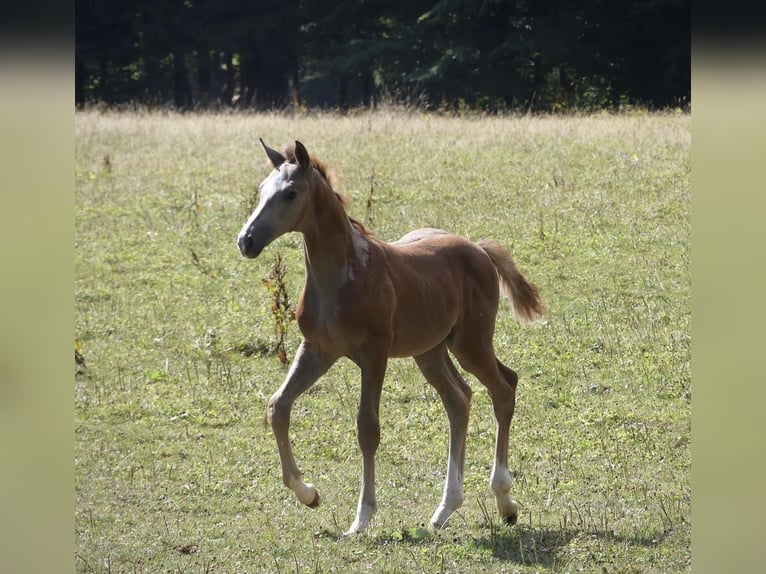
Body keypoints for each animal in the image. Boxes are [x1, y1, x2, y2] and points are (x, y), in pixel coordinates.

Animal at [237, 139, 545, 534]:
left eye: (290, 193)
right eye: (262, 190)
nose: (246, 241)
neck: (343, 275)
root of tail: (478, 248)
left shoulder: (374, 353)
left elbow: (367, 428)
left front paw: (362, 517)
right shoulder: (317, 350)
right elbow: (278, 406)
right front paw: (309, 494)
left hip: (471, 342)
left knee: (504, 386)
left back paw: (505, 500)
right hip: (430, 350)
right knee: (459, 399)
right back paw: (444, 509)